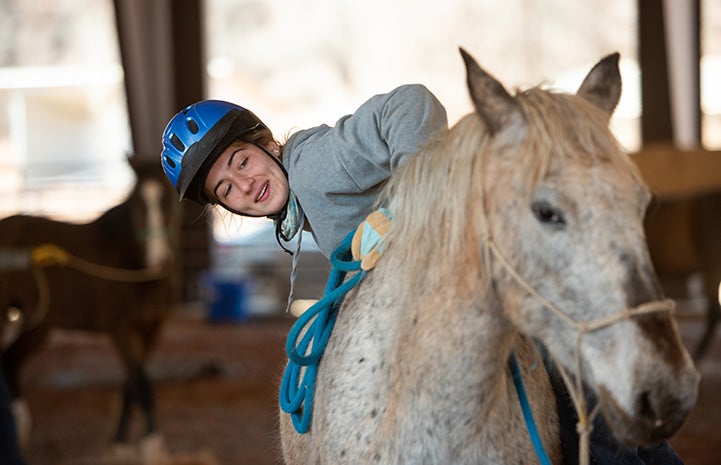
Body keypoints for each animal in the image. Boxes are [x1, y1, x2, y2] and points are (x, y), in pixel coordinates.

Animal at [0, 155, 180, 450]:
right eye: (138, 205)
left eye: (167, 199)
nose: (159, 260)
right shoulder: (120, 329)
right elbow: (141, 383)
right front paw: (153, 444)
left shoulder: (152, 330)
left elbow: (130, 384)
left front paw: (119, 442)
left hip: (38, 325)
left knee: (10, 361)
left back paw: (22, 430)